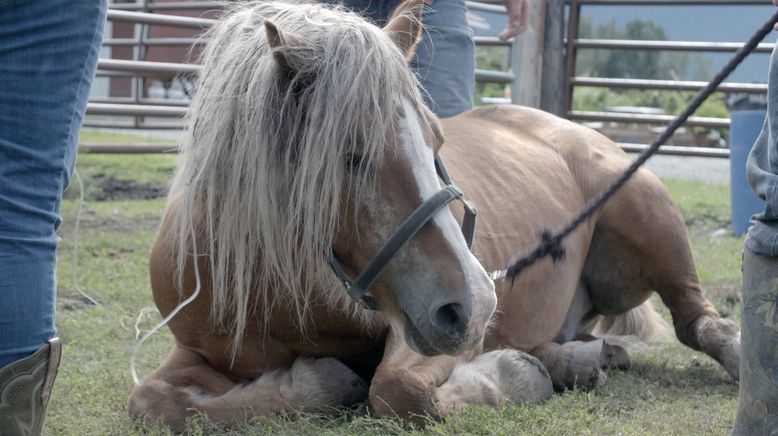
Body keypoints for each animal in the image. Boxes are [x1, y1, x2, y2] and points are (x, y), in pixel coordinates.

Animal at [127, 0, 740, 430]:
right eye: (351, 156)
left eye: (437, 140)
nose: (475, 303)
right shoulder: (196, 350)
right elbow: (153, 401)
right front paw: (313, 379)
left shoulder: (420, 328)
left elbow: (397, 390)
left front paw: (510, 376)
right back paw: (577, 358)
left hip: (650, 220)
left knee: (698, 319)